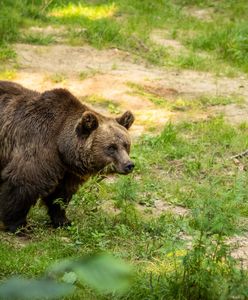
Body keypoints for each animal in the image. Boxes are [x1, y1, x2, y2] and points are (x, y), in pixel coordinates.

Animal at [0, 81, 135, 233]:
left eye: (126, 145)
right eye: (111, 147)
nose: (129, 165)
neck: (61, 146)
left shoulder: (67, 171)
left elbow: (61, 194)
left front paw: (63, 220)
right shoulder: (37, 145)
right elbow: (23, 182)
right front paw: (19, 225)